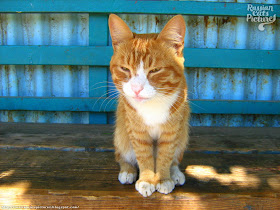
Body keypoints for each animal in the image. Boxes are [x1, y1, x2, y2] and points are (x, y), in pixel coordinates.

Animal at [108, 13, 189, 196]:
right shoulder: (137, 131)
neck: (153, 104)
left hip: (183, 136)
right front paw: (146, 180)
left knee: (174, 158)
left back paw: (175, 173)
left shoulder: (171, 132)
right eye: (125, 69)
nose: (136, 89)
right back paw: (127, 170)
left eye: (155, 70)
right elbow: (144, 156)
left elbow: (166, 156)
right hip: (121, 135)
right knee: (122, 155)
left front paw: (164, 179)